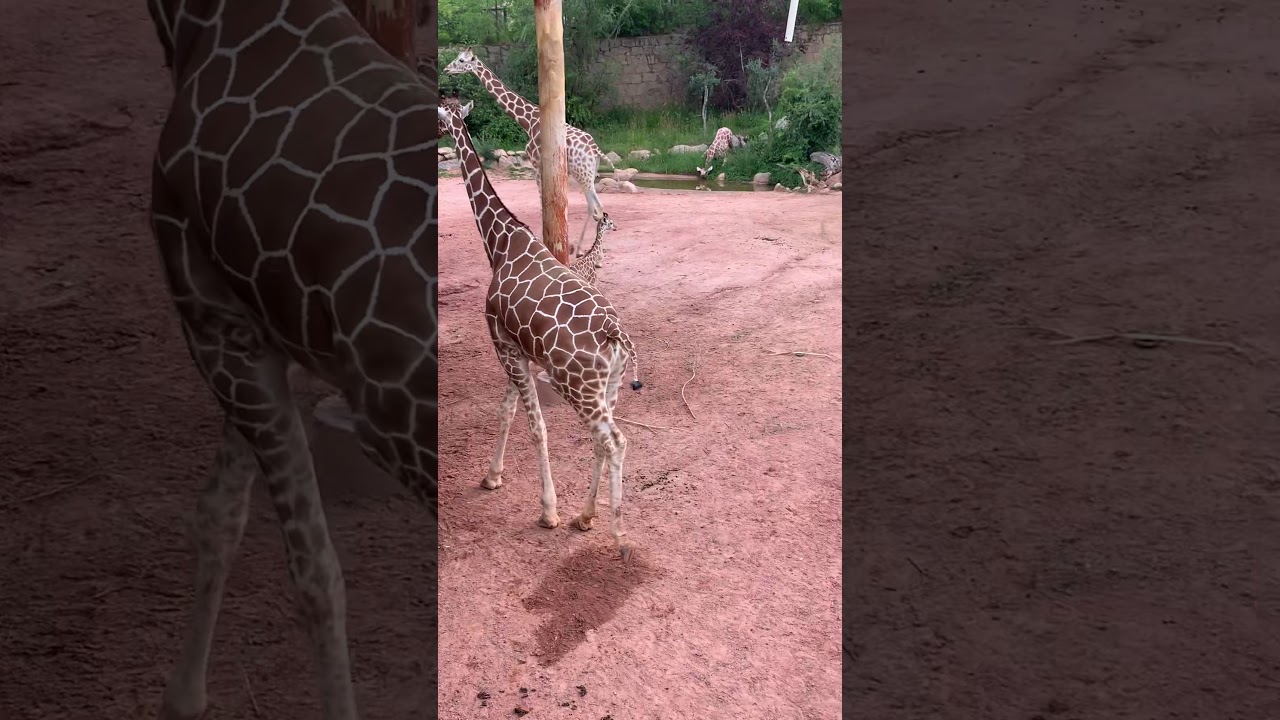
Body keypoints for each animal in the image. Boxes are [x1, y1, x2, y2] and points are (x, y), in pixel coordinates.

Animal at [438, 99, 643, 561]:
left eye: (439, 115)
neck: (500, 244)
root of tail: (615, 334)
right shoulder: (518, 347)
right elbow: (507, 412)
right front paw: (491, 477)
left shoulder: (501, 343)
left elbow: (535, 426)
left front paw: (548, 511)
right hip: (610, 384)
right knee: (605, 441)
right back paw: (585, 516)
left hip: (578, 386)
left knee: (614, 440)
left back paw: (618, 534)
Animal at [442, 49, 616, 256]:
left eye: (461, 60)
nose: (446, 69)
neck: (528, 121)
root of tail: (596, 151)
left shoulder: (536, 163)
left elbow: (543, 203)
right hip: (586, 174)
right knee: (594, 207)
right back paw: (583, 249)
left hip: (583, 174)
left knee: (597, 208)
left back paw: (584, 250)